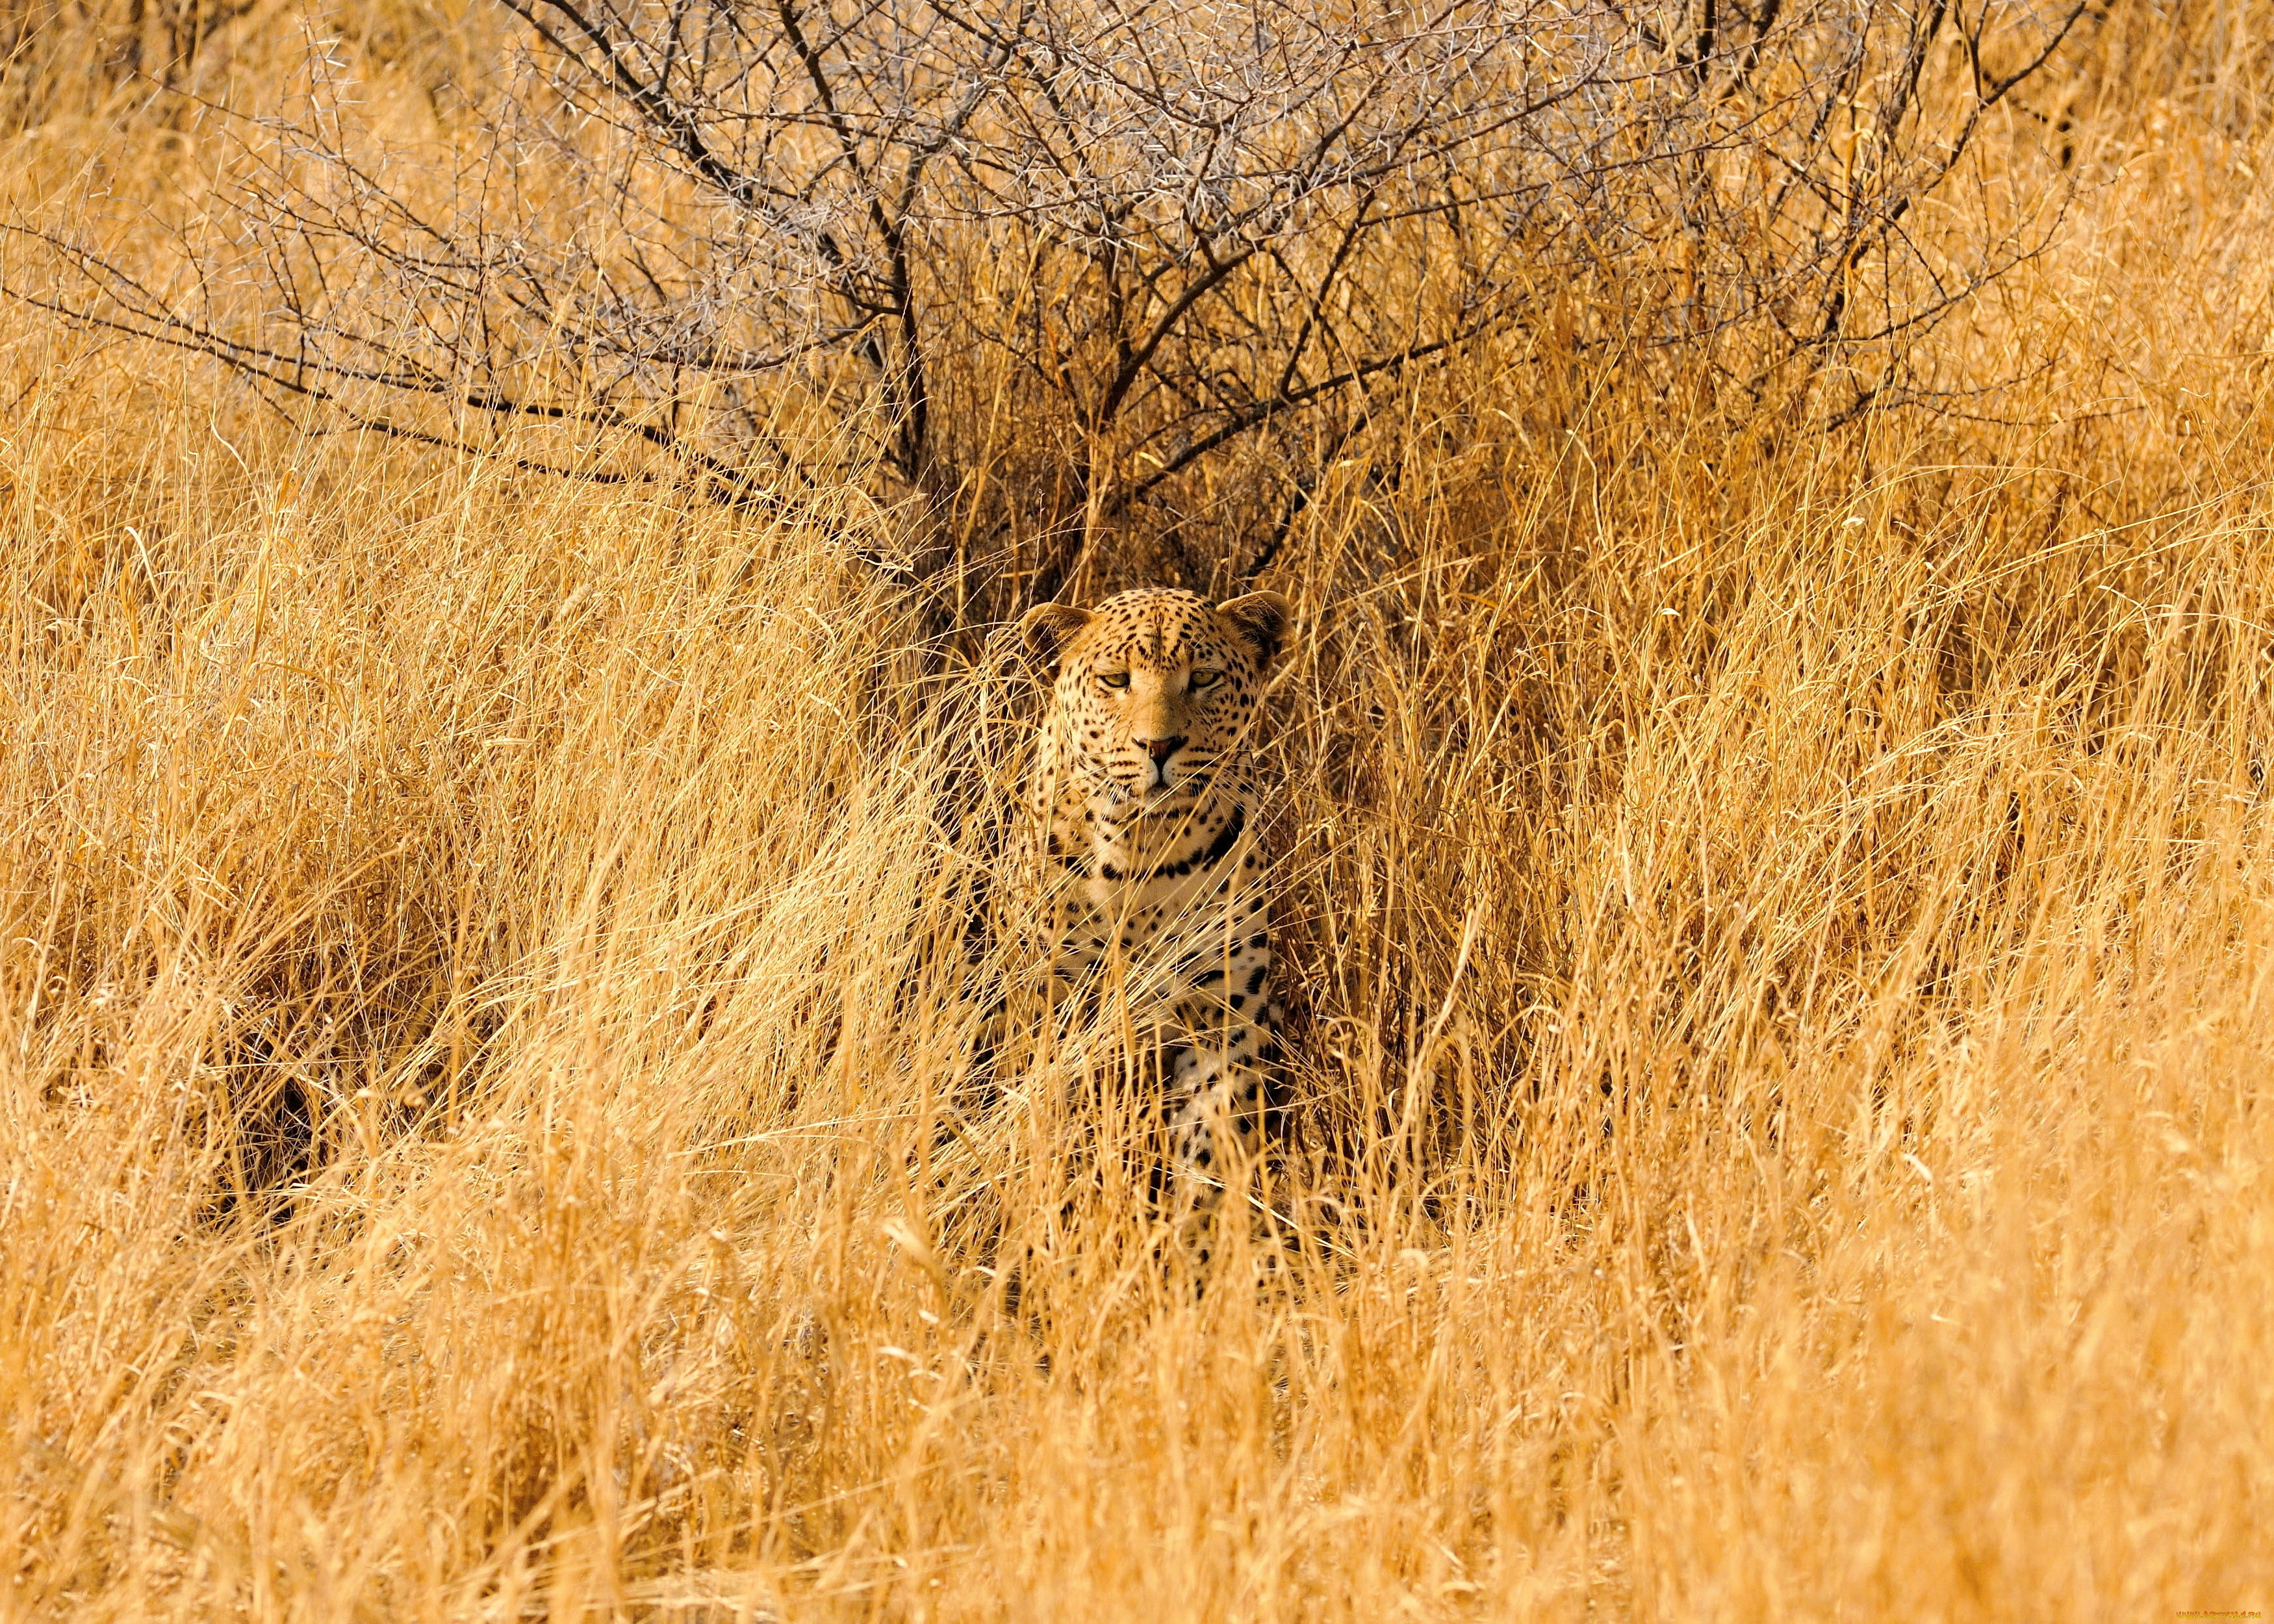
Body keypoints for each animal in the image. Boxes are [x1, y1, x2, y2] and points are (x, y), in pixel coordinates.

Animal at [1019, 587, 1292, 1255]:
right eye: (1116, 680)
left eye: (1205, 678)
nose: (1160, 747)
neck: (1146, 850)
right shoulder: (1067, 1010)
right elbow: (1077, 1134)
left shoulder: (1223, 1018)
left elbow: (1208, 1152)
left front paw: (1189, 1255)